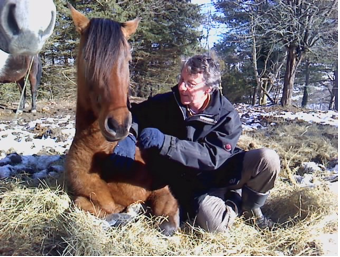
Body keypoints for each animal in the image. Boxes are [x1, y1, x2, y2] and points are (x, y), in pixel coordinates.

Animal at [64, 4, 179, 236]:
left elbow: (167, 223)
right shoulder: (85, 198)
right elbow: (88, 206)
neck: (105, 155)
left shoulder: (162, 190)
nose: (117, 125)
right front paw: (127, 214)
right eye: (87, 59)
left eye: (128, 60)